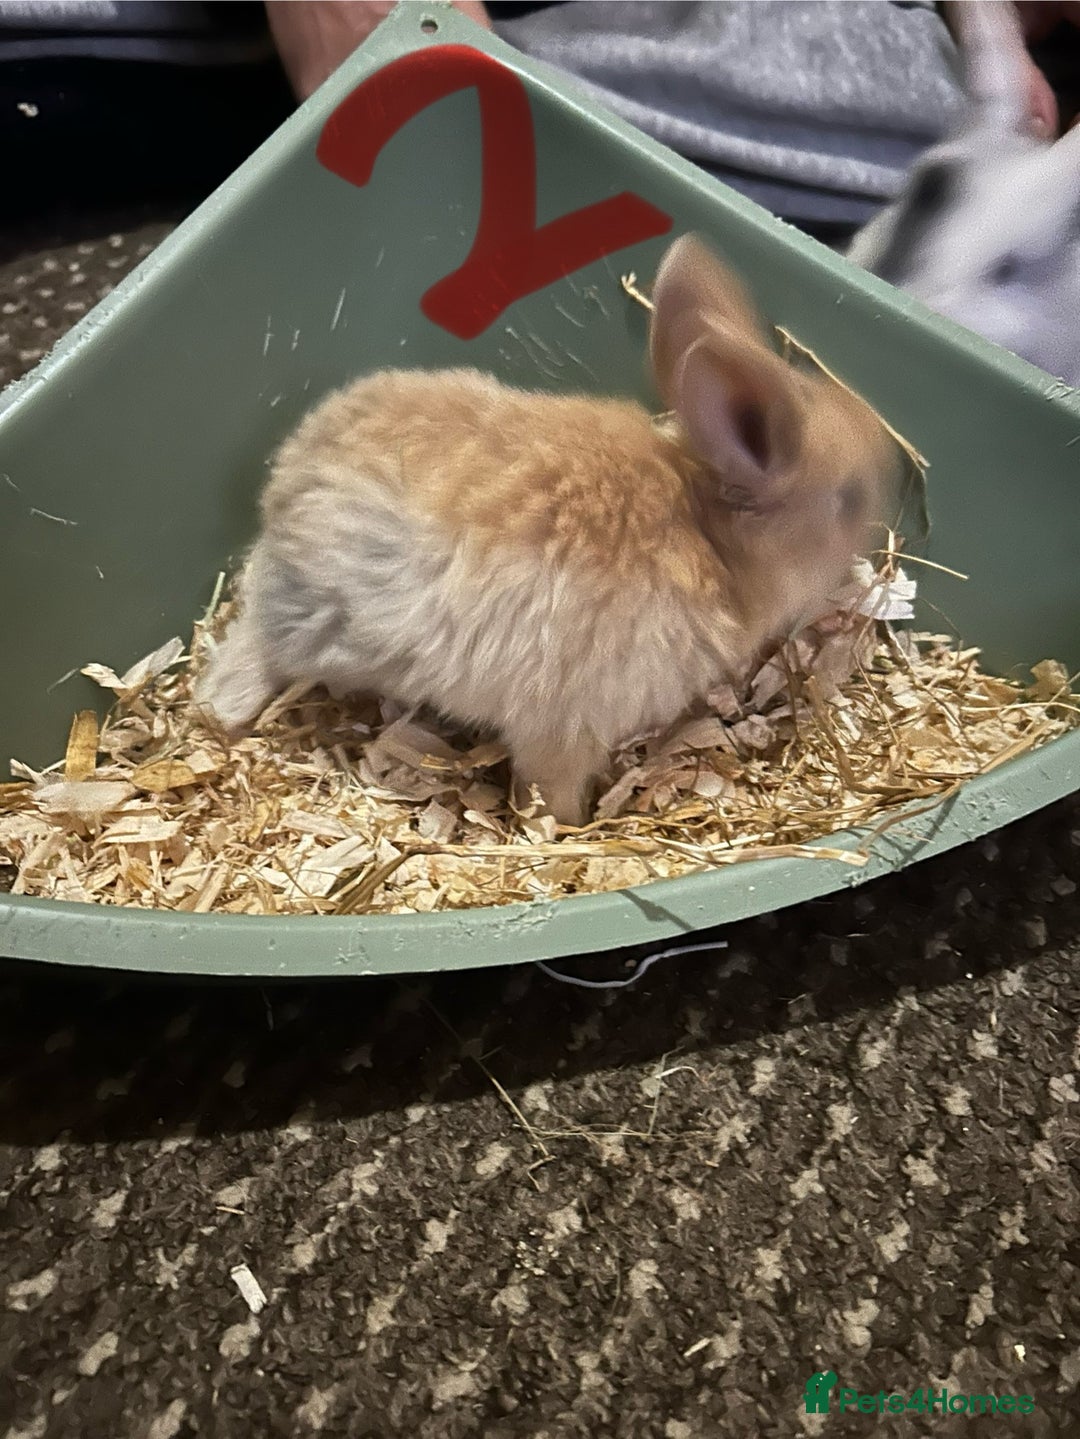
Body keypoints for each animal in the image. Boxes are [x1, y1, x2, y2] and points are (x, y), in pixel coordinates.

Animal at [194, 234, 901, 827]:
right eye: (849, 499)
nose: (885, 504)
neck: (709, 537)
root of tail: (283, 491)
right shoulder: (568, 727)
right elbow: (550, 787)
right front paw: (566, 825)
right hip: (311, 628)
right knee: (251, 650)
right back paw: (223, 709)